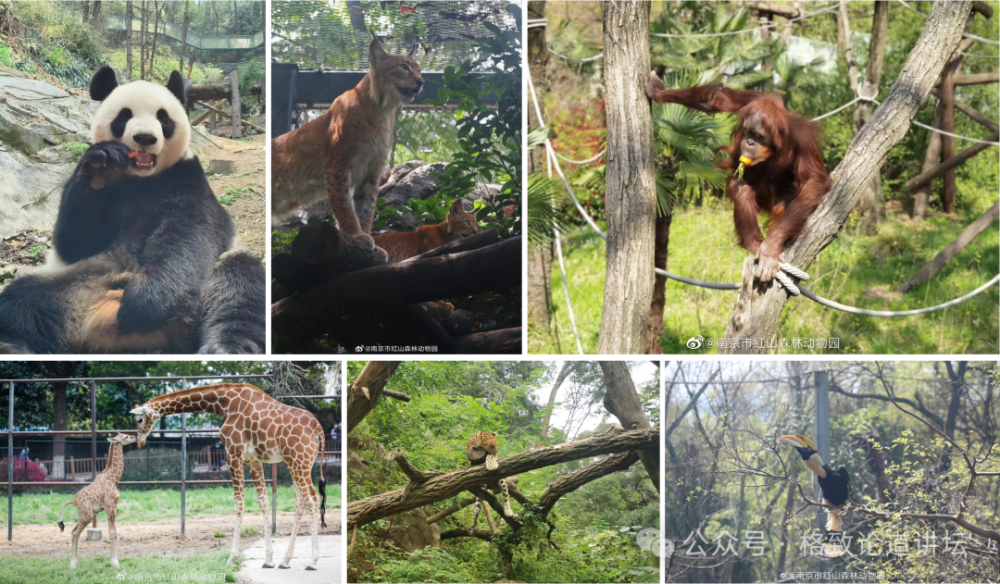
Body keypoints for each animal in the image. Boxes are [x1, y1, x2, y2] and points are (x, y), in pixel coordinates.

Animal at [0, 66, 266, 354]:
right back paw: (12, 345)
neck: (142, 179)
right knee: (21, 303)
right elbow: (74, 241)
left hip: (212, 281)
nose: (145, 138)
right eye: (124, 116)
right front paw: (101, 167)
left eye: (163, 118)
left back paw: (226, 346)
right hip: (72, 283)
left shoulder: (188, 179)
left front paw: (144, 305)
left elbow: (189, 235)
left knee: (239, 291)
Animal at [58, 432, 135, 568]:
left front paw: (114, 562)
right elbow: (113, 533)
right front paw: (115, 563)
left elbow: (113, 532)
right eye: (125, 437)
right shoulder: (111, 506)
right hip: (87, 515)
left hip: (86, 515)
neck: (113, 479)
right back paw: (72, 564)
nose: (135, 437)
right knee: (75, 532)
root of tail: (74, 500)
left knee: (73, 531)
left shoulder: (111, 507)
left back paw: (75, 562)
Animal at [129, 384, 328, 572]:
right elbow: (263, 503)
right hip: (298, 463)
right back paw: (285, 561)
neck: (224, 404)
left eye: (139, 419)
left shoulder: (233, 455)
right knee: (300, 502)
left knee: (312, 499)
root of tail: (317, 427)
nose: (140, 442)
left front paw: (231, 558)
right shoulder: (253, 460)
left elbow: (239, 504)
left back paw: (313, 561)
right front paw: (268, 560)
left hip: (297, 462)